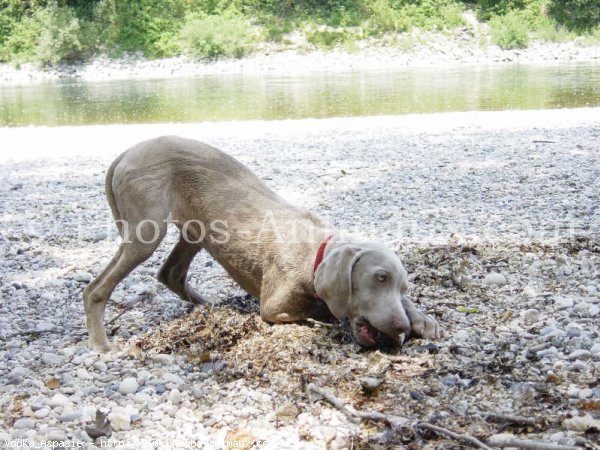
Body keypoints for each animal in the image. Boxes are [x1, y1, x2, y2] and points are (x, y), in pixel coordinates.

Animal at [83, 135, 440, 354]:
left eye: (402, 286)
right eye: (379, 278)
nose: (400, 328)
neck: (316, 252)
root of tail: (129, 150)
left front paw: (422, 319)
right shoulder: (274, 305)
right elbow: (319, 310)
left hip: (195, 229)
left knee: (170, 273)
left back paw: (208, 306)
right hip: (147, 229)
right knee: (96, 289)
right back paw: (102, 344)